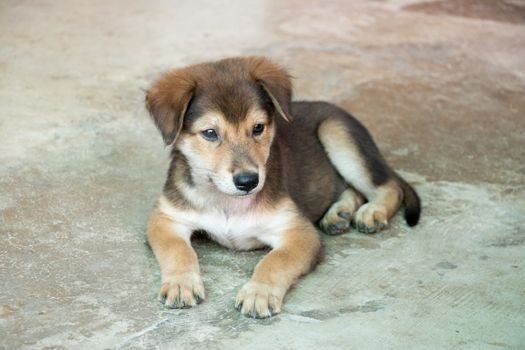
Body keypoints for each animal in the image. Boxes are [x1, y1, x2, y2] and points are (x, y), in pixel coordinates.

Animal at [144, 56, 422, 318]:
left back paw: (371, 212)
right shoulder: (165, 218)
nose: (248, 181)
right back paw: (338, 214)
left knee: (390, 186)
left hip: (337, 133)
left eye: (258, 128)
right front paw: (181, 283)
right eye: (210, 133)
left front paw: (260, 292)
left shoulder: (299, 232)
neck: (226, 200)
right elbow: (178, 250)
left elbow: (275, 261)